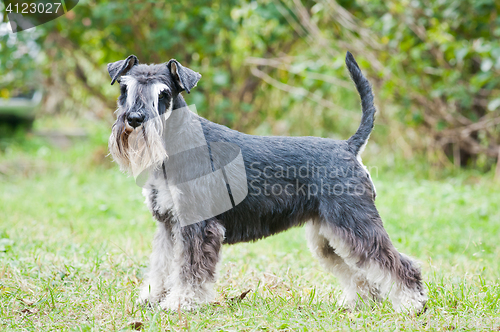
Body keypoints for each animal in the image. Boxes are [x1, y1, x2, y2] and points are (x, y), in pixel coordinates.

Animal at [107, 52, 428, 314]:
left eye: (163, 94)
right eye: (125, 88)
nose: (134, 119)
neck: (174, 145)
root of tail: (348, 147)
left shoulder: (198, 225)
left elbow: (189, 269)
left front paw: (180, 302)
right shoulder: (168, 224)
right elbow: (162, 264)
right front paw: (151, 297)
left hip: (355, 223)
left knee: (397, 263)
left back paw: (412, 303)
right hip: (329, 235)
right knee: (360, 271)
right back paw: (358, 302)